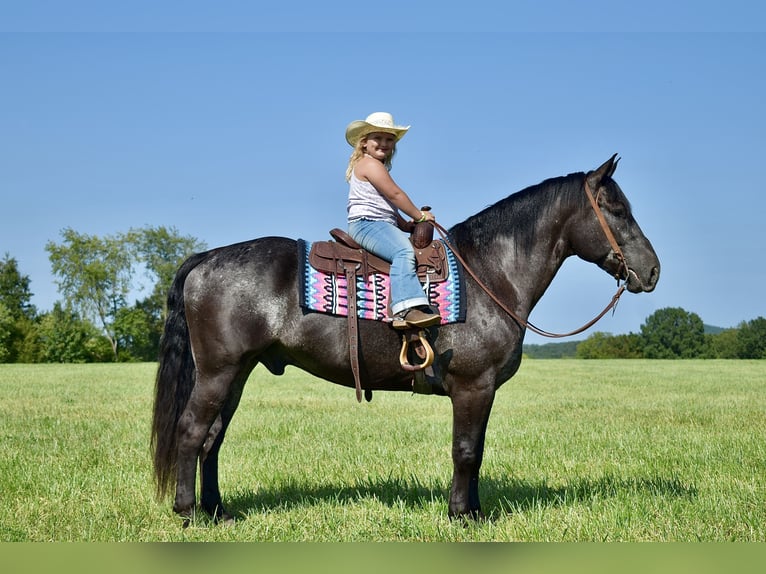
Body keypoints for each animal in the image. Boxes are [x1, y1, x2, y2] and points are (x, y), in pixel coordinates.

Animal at [150, 155, 660, 524]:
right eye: (616, 209)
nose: (652, 271)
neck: (490, 272)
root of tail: (207, 257)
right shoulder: (473, 387)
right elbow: (465, 450)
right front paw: (461, 516)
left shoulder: (484, 392)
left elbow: (476, 451)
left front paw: (475, 511)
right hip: (218, 372)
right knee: (193, 431)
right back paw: (189, 512)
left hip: (238, 373)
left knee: (213, 438)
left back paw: (219, 511)